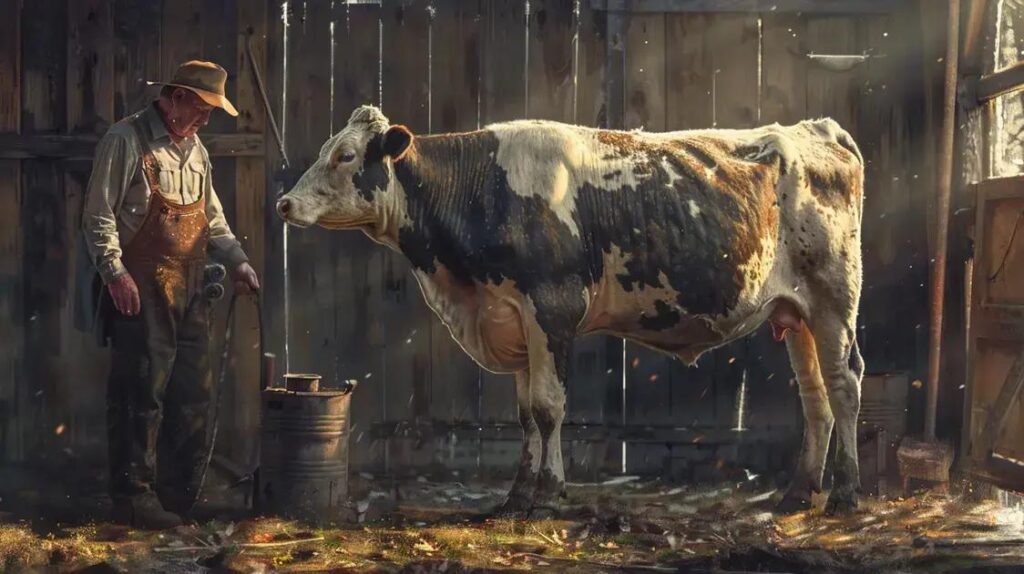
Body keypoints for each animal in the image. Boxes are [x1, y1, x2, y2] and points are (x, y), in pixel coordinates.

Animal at [276, 105, 865, 518]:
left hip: (835, 297)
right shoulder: (512, 318)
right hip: (795, 312)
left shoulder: (552, 309)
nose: (285, 203)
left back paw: (847, 493)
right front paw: (516, 497)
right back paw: (800, 492)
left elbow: (548, 408)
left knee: (844, 386)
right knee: (814, 396)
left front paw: (548, 494)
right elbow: (524, 415)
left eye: (346, 155)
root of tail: (818, 129)